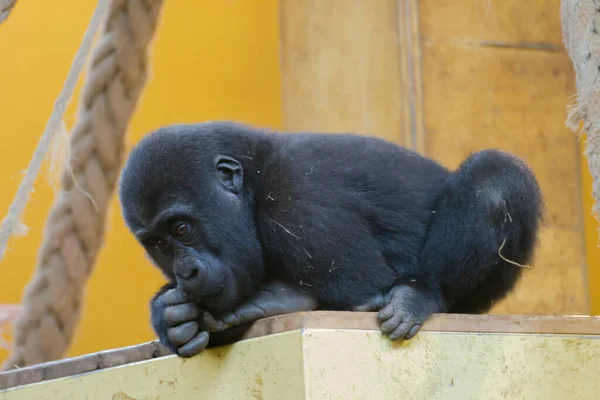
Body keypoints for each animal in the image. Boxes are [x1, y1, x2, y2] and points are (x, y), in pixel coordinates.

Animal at [118, 121, 544, 356]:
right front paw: (170, 314)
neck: (255, 181)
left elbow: (365, 287)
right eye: (159, 245)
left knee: (494, 174)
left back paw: (421, 294)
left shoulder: (295, 197)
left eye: (181, 229)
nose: (185, 272)